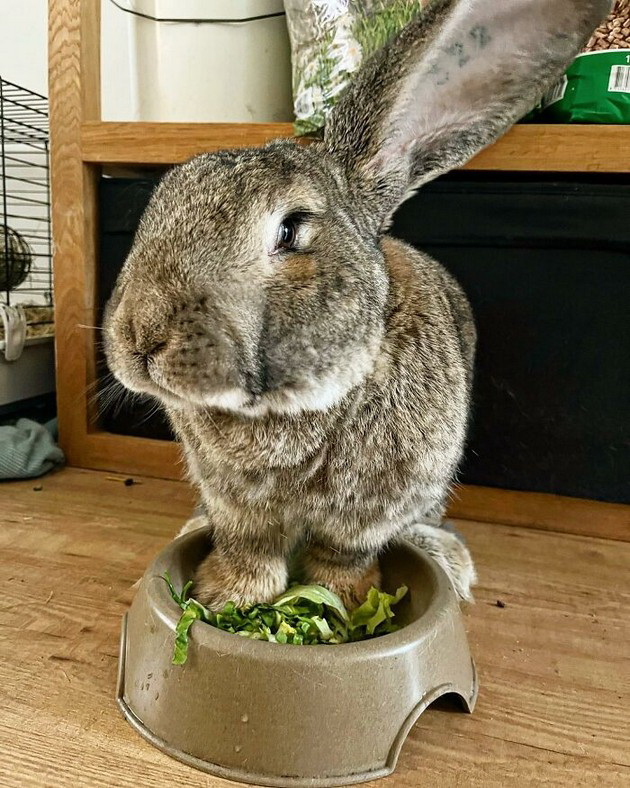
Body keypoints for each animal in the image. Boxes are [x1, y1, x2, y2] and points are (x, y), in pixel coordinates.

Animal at [105, 0, 612, 612]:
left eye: (291, 230)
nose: (139, 338)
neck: (291, 407)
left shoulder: (373, 510)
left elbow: (341, 556)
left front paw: (339, 601)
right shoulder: (235, 506)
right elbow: (247, 549)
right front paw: (224, 597)